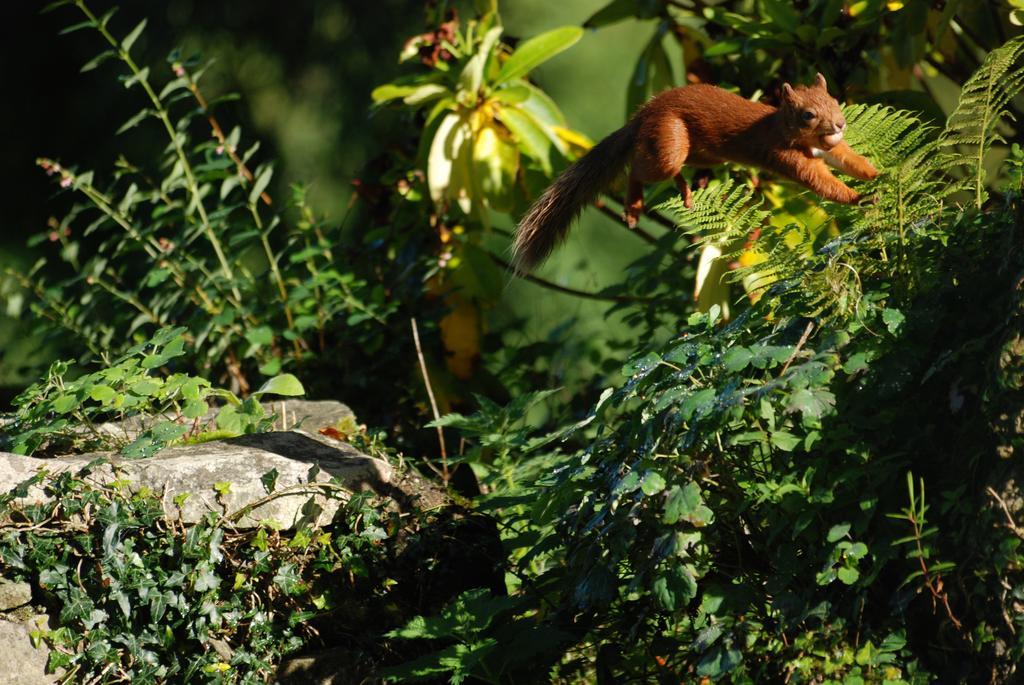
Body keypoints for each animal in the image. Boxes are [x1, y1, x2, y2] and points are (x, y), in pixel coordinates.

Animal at [516, 72, 876, 270]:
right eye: (808, 115)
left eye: (835, 101)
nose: (840, 124)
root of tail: (644, 112)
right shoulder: (786, 156)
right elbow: (821, 182)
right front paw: (859, 198)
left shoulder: (832, 148)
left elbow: (849, 159)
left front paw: (874, 175)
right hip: (670, 141)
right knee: (639, 170)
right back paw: (633, 206)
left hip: (704, 153)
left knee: (678, 168)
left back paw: (688, 190)